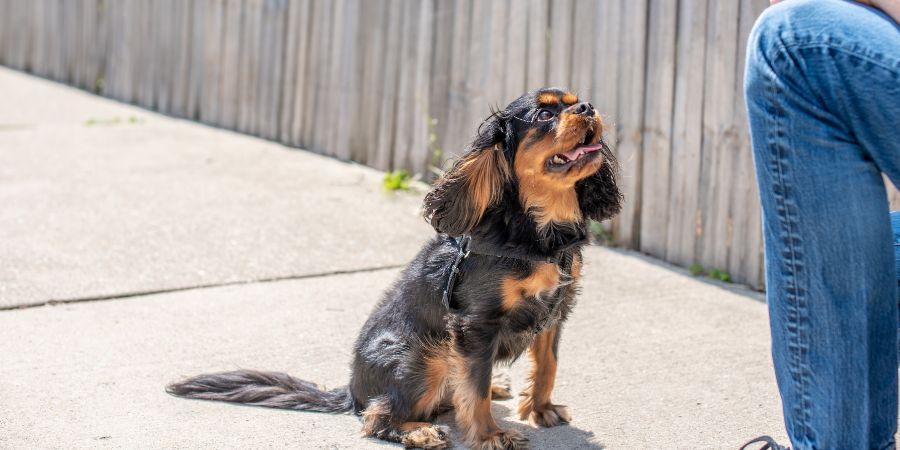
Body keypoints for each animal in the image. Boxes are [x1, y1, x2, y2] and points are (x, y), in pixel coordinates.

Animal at [167, 89, 620, 450]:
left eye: (577, 99)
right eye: (544, 115)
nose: (589, 106)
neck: (539, 230)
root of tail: (351, 390)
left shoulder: (555, 311)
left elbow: (546, 367)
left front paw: (540, 409)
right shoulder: (475, 323)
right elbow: (473, 392)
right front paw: (490, 435)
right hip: (422, 353)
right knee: (378, 415)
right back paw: (418, 430)